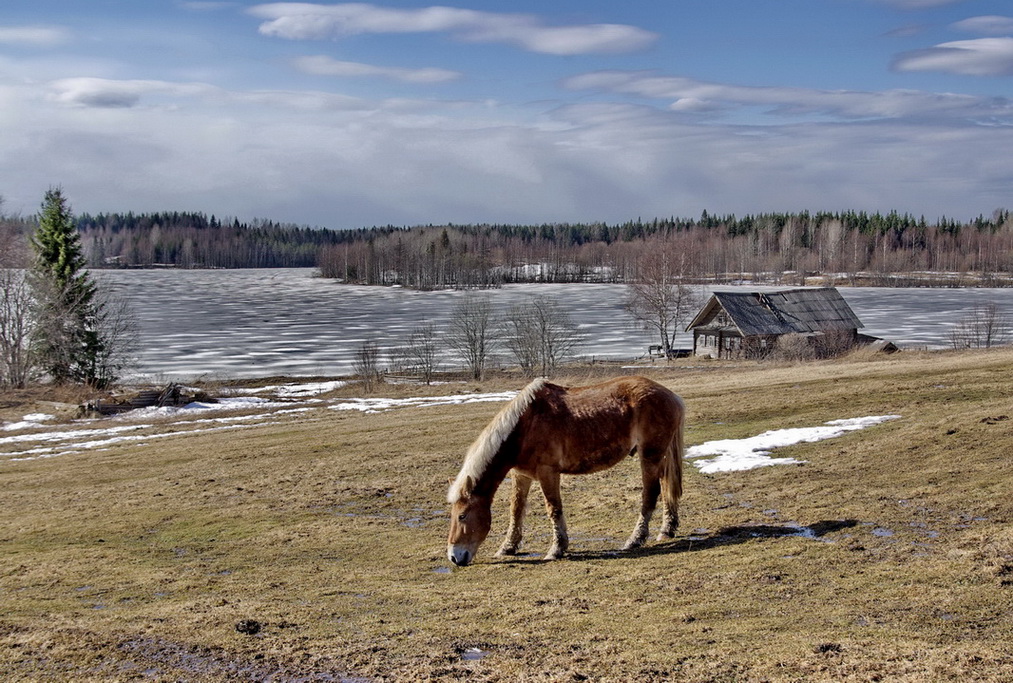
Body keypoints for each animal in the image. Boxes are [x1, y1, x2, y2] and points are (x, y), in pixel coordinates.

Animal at [447, 372, 684, 563]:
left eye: (462, 516)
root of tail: (672, 396)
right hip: (660, 457)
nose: (454, 557)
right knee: (666, 488)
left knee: (650, 494)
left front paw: (557, 550)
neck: (524, 426)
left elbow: (553, 509)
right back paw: (666, 530)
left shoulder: (547, 473)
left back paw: (635, 540)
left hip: (650, 457)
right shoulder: (521, 475)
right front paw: (507, 548)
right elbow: (516, 510)